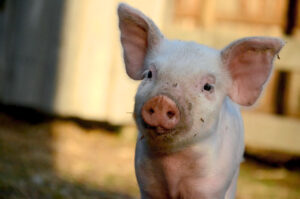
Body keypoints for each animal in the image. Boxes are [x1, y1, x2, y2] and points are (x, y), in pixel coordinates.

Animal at [117, 3, 284, 199]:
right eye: (149, 74)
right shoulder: (147, 184)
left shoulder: (210, 187)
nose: (161, 100)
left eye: (208, 87)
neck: (172, 165)